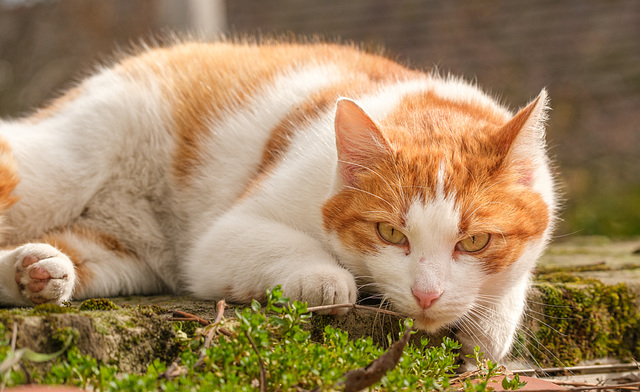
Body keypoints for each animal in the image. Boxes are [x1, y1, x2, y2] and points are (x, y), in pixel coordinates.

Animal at [0, 39, 556, 362]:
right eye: (390, 233)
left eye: (476, 241)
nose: (426, 295)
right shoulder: (220, 242)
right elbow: (288, 252)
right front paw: (325, 278)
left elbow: (504, 304)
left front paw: (490, 322)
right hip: (60, 171)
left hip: (123, 255)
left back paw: (36, 272)